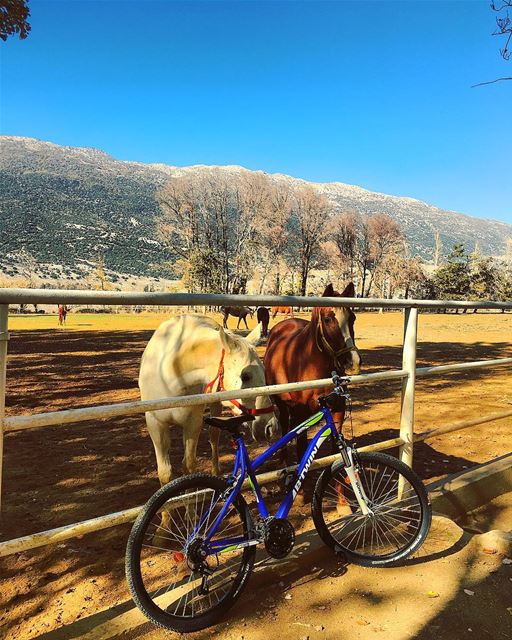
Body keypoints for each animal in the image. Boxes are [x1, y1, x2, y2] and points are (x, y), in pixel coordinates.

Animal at [138, 314, 278, 484]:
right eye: (245, 376)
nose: (271, 427)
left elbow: (189, 465)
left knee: (214, 436)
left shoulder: (193, 423)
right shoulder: (155, 423)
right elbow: (165, 473)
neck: (171, 373)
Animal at [264, 282, 360, 462]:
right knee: (285, 424)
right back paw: (283, 458)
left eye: (353, 318)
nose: (353, 361)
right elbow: (302, 447)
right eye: (328, 319)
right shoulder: (302, 413)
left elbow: (335, 449)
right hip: (281, 403)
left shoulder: (338, 409)